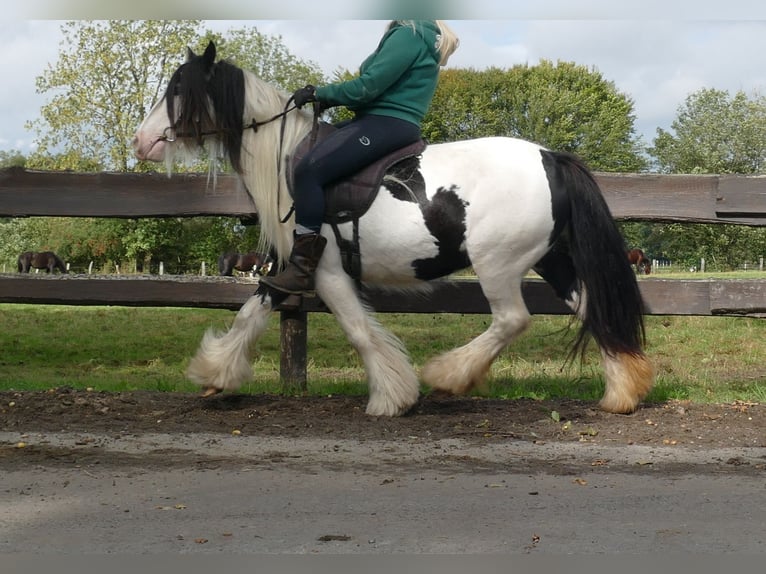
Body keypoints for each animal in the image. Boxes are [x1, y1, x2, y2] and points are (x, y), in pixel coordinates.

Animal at [132, 41, 656, 418]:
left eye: (178, 89)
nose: (141, 141)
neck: (286, 158)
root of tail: (551, 157)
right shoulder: (289, 268)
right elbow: (251, 312)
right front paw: (215, 374)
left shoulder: (325, 270)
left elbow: (359, 331)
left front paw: (391, 397)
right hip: (551, 258)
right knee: (593, 309)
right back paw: (622, 393)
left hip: (498, 264)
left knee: (512, 320)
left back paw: (448, 375)